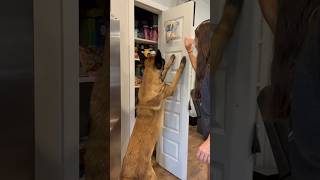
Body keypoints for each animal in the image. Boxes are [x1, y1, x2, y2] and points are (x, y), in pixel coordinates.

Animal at [119, 49, 185, 180]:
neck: (148, 80)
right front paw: (182, 63)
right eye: (162, 60)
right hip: (152, 175)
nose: (165, 58)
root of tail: (126, 174)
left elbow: (164, 71)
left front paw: (172, 59)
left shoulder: (162, 80)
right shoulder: (169, 89)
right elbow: (176, 75)